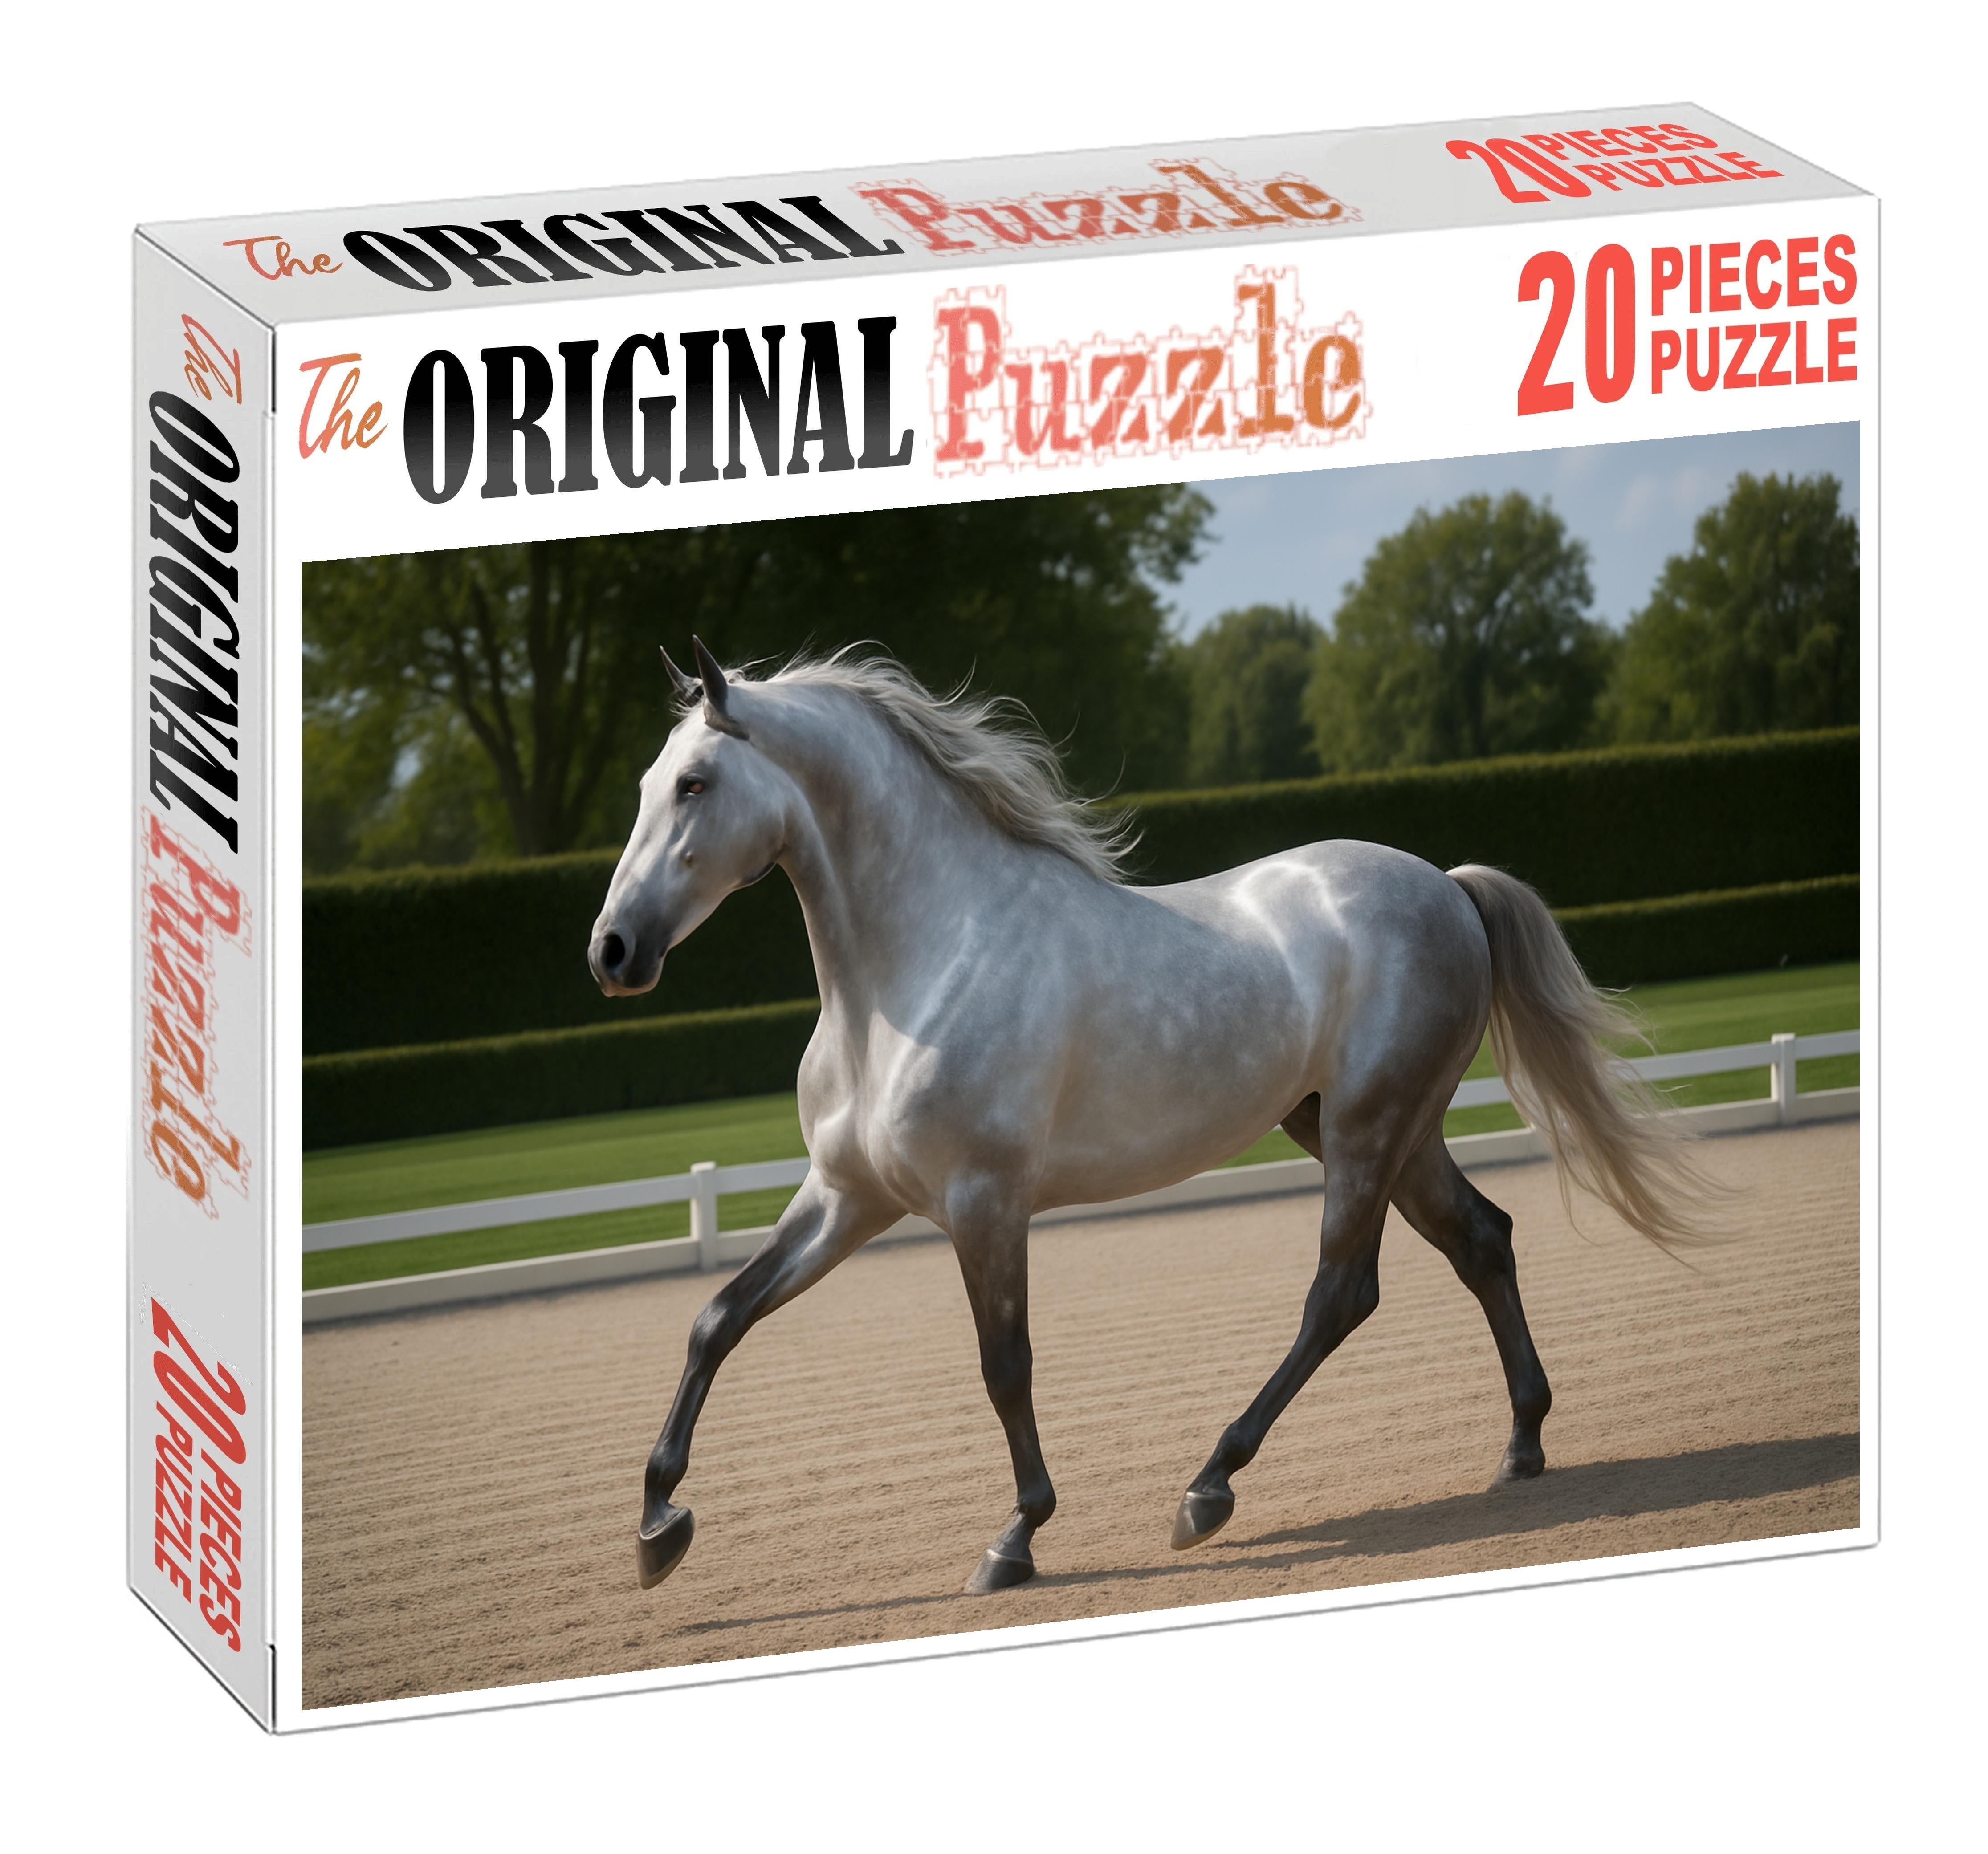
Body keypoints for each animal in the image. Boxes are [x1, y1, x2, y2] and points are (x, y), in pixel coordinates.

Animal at [589, 640, 1704, 1596]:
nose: (612, 951)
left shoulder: (984, 1203)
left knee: (1341, 1294)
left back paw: (1209, 1488)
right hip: (1380, 1127)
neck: (923, 968)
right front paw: (657, 1529)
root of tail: (1448, 886)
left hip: (1368, 1128)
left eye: (695, 784)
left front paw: (1016, 1540)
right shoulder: (848, 1198)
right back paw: (1520, 1446)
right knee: (1482, 1241)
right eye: (643, 783)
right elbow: (718, 1319)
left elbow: (1005, 1367)